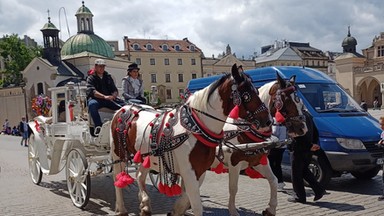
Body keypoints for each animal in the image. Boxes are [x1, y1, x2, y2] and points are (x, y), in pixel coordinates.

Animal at [109, 64, 272, 216]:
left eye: (258, 91)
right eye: (247, 95)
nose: (267, 121)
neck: (195, 128)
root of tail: (124, 108)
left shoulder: (199, 171)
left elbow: (186, 197)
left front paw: (176, 210)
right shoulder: (191, 171)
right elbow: (197, 205)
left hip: (146, 157)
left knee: (140, 175)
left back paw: (145, 204)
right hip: (118, 154)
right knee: (117, 179)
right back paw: (121, 208)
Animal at [212, 73, 308, 216]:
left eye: (299, 101)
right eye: (287, 100)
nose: (302, 128)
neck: (244, 130)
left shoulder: (258, 161)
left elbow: (273, 180)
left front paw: (271, 209)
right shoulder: (234, 163)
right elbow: (233, 188)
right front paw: (233, 210)